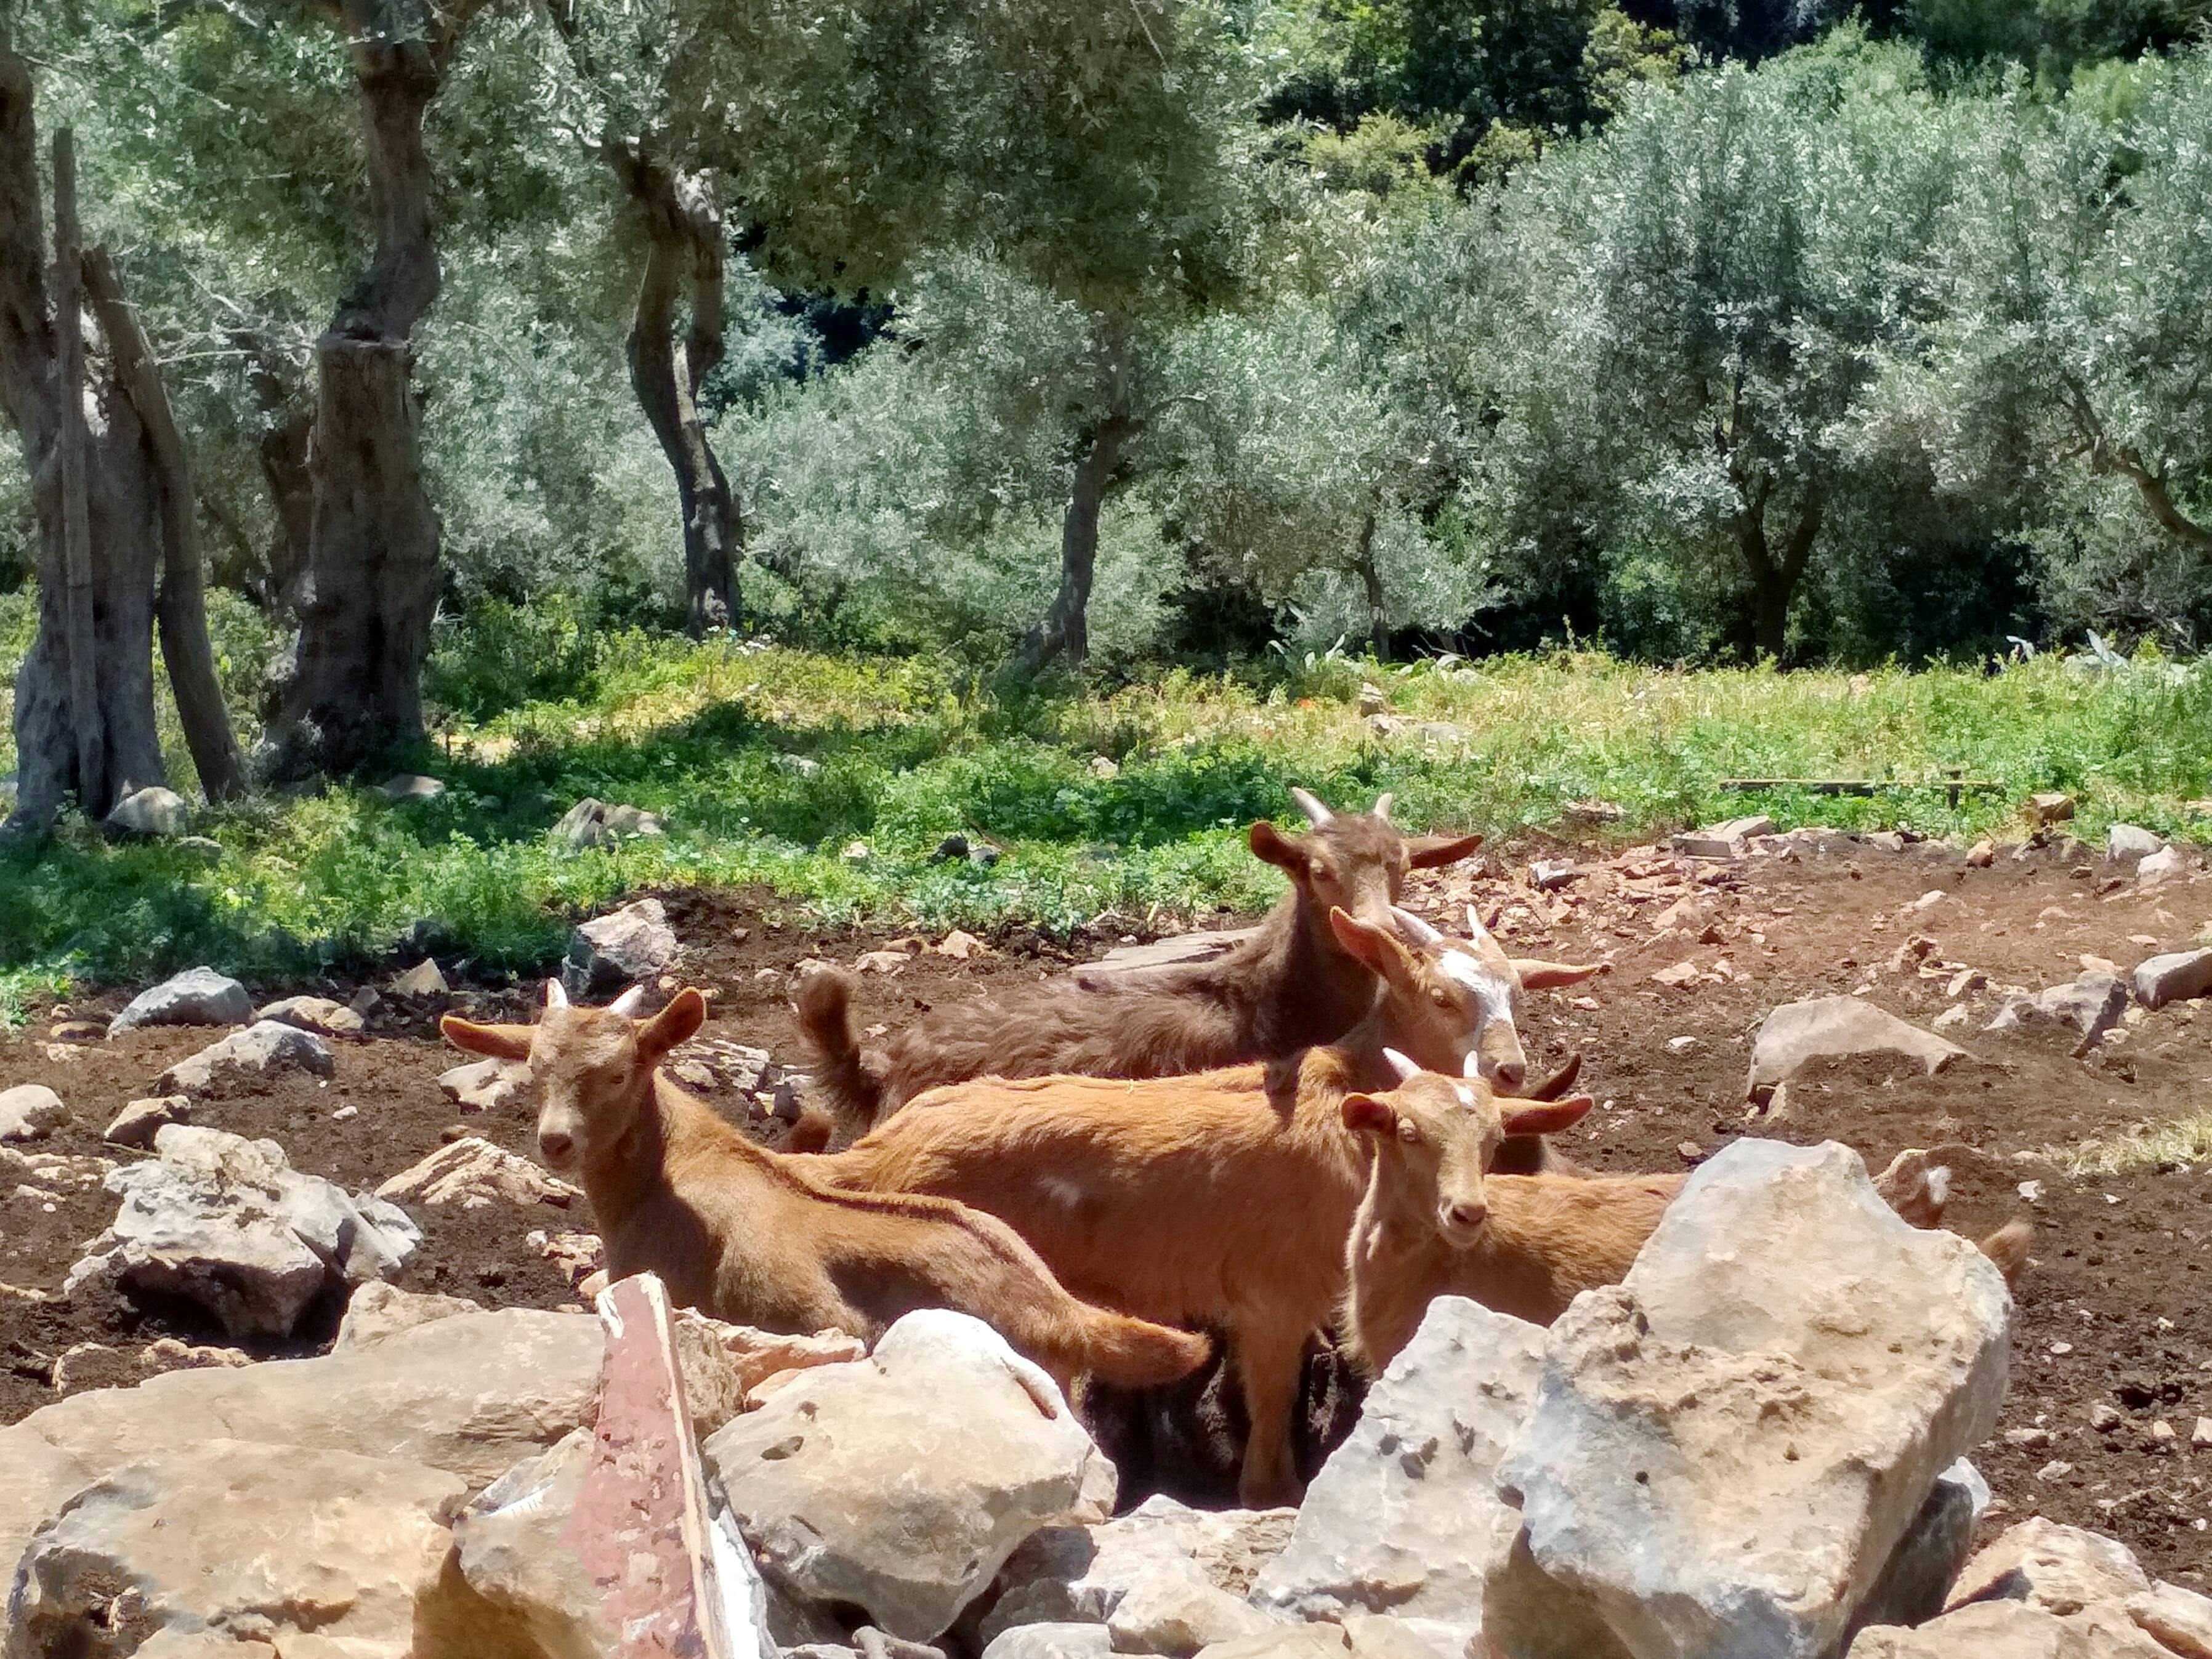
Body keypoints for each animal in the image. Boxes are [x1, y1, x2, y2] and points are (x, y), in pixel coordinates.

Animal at [796, 916, 1592, 1512]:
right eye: (1439, 996)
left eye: (1517, 993)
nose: (1508, 1070)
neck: (1346, 1103)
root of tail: (872, 1151)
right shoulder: (1274, 1295)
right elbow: (1267, 1439)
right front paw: (1274, 1495)